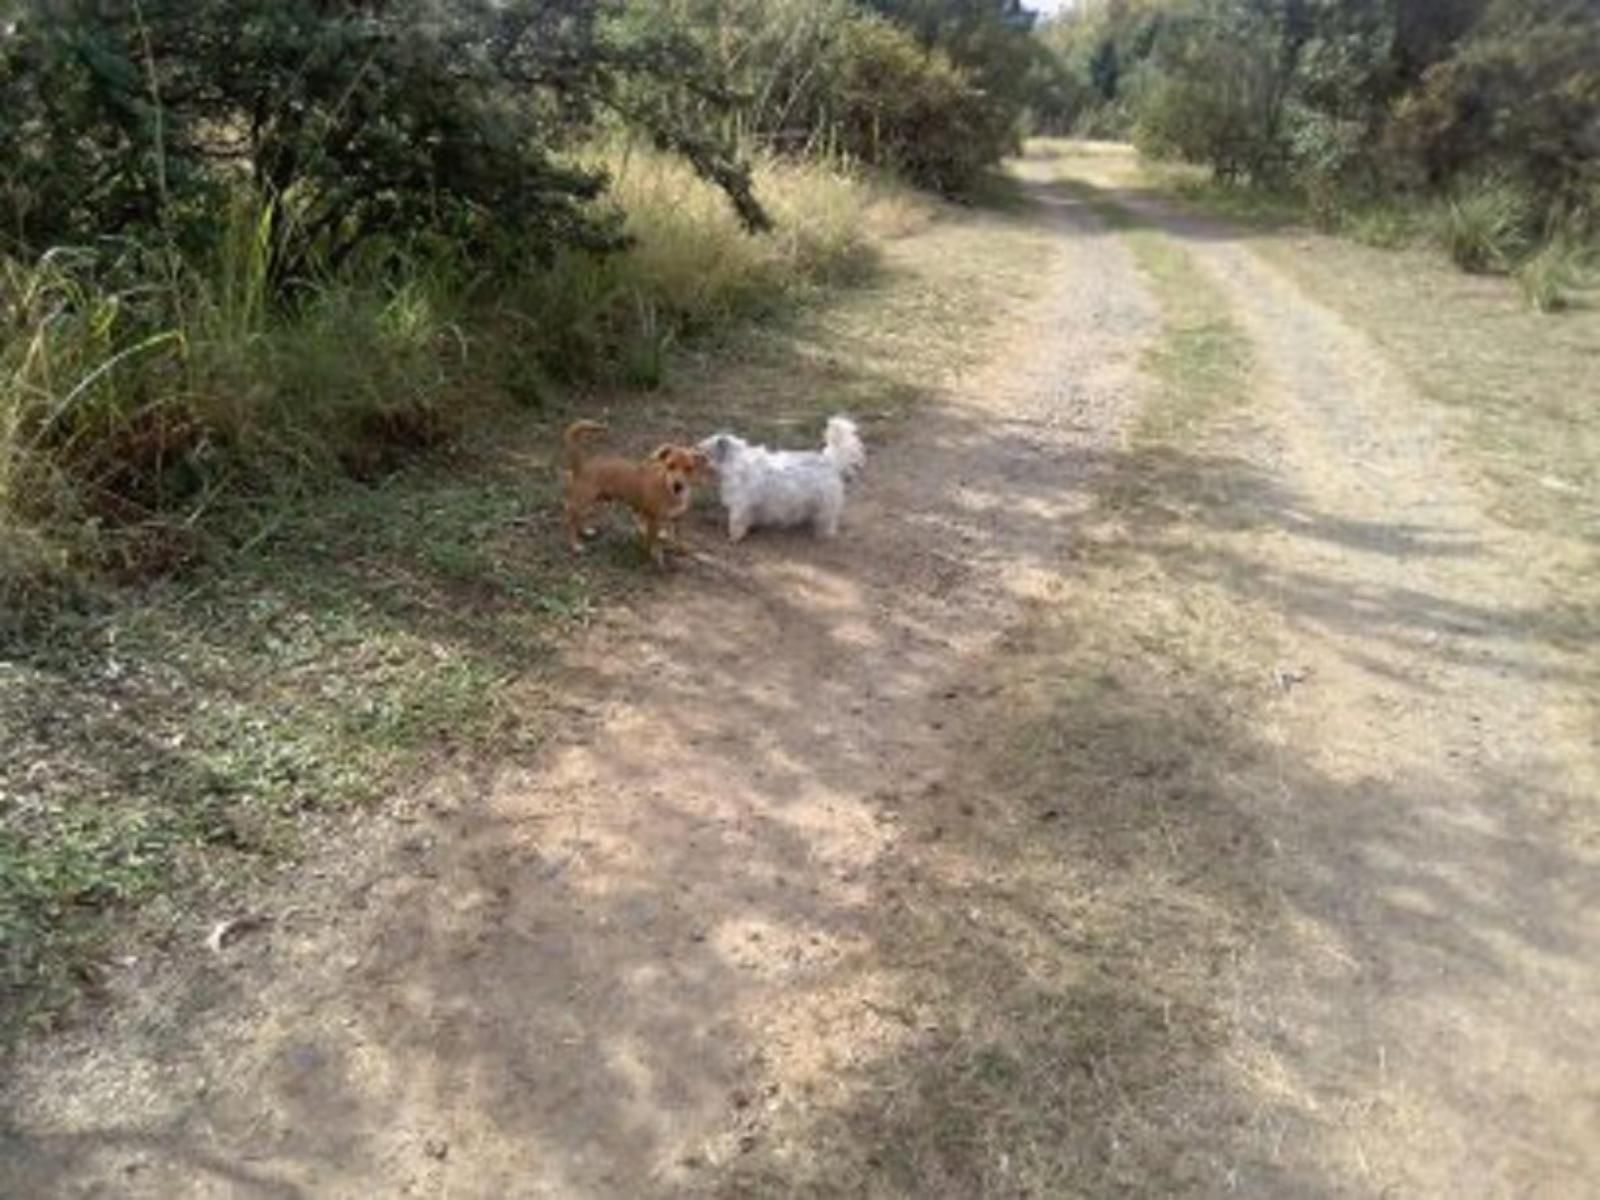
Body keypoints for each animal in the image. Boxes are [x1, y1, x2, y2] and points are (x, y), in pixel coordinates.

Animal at [566, 419, 710, 566]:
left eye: (689, 468)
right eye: (670, 466)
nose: (677, 485)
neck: (670, 492)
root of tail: (582, 466)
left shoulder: (677, 520)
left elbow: (678, 539)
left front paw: (683, 551)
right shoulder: (653, 520)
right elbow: (654, 542)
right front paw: (656, 558)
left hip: (593, 501)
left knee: (579, 520)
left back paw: (585, 531)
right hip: (582, 503)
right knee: (571, 523)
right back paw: (575, 545)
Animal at [700, 416, 870, 544]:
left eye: (703, 452)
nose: (695, 448)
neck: (735, 460)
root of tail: (830, 461)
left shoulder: (740, 505)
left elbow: (736, 523)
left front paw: (734, 537)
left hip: (826, 504)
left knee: (828, 521)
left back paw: (822, 534)